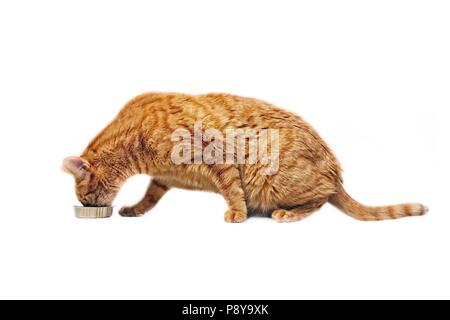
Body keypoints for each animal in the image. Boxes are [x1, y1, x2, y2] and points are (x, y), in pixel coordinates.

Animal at [61, 92, 428, 222]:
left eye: (85, 196)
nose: (87, 207)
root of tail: (336, 173)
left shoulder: (215, 153)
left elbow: (232, 190)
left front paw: (237, 213)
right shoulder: (163, 178)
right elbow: (149, 198)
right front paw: (135, 209)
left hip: (275, 179)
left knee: (320, 200)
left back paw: (288, 213)